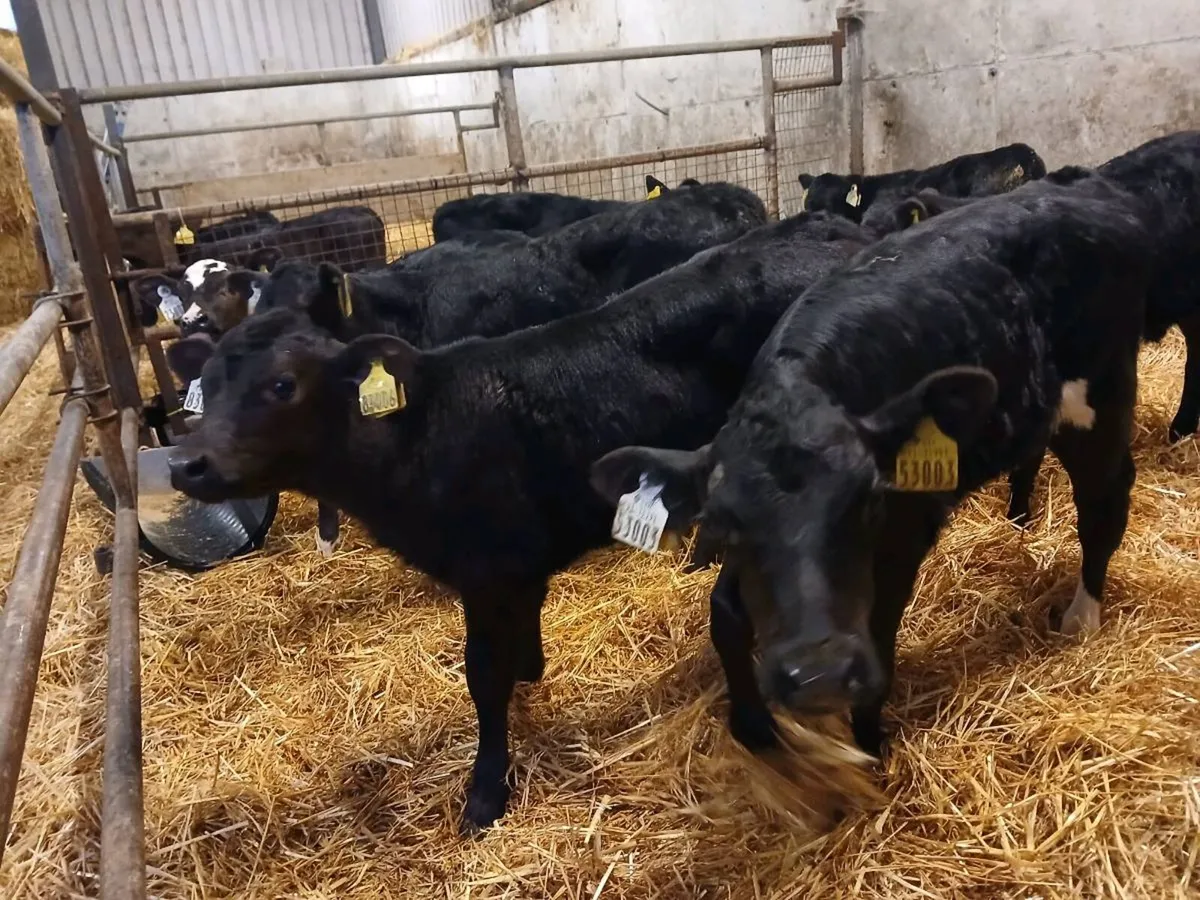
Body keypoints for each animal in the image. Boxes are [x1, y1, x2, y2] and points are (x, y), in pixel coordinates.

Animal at [162, 209, 872, 833]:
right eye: (209, 381)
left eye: (283, 385)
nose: (186, 463)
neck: (418, 435)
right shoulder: (518, 563)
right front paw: (530, 672)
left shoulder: (487, 570)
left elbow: (483, 673)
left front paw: (485, 790)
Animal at [591, 173, 1152, 766]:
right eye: (722, 523)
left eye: (870, 504)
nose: (821, 676)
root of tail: (1095, 192)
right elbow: (725, 611)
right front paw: (752, 725)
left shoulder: (905, 530)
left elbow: (879, 634)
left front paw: (870, 748)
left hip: (1101, 397)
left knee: (1104, 502)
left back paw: (1081, 620)